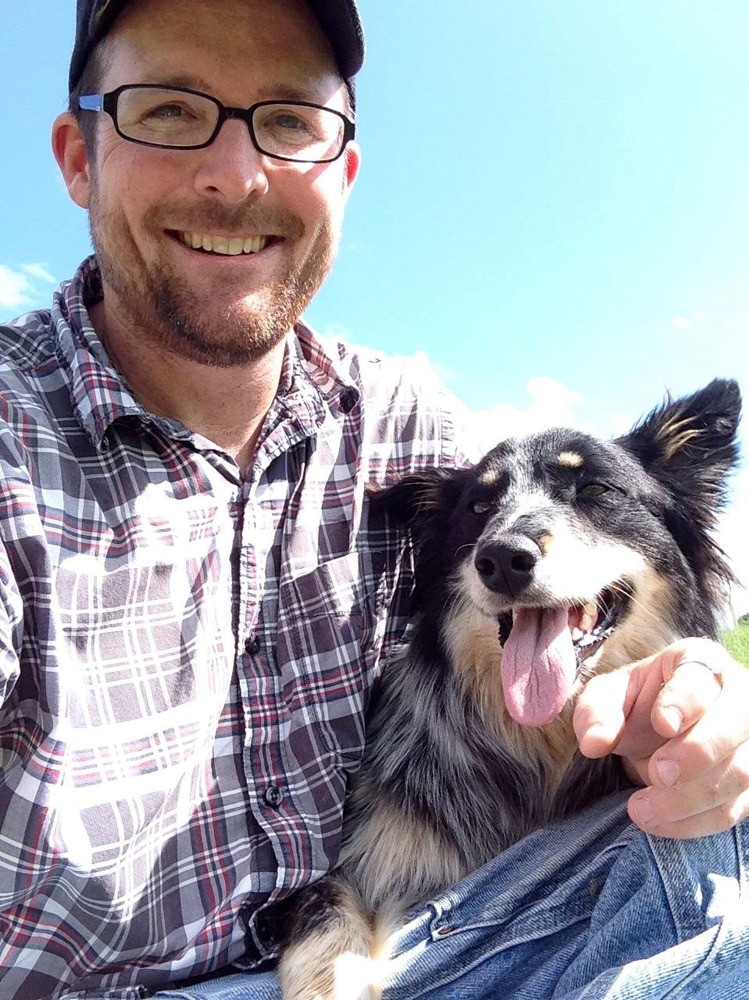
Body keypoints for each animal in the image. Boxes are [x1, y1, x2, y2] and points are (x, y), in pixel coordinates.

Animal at [278, 376, 740, 1000]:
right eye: (478, 507)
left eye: (596, 489)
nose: (501, 558)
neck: (536, 742)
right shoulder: (352, 856)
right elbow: (323, 909)